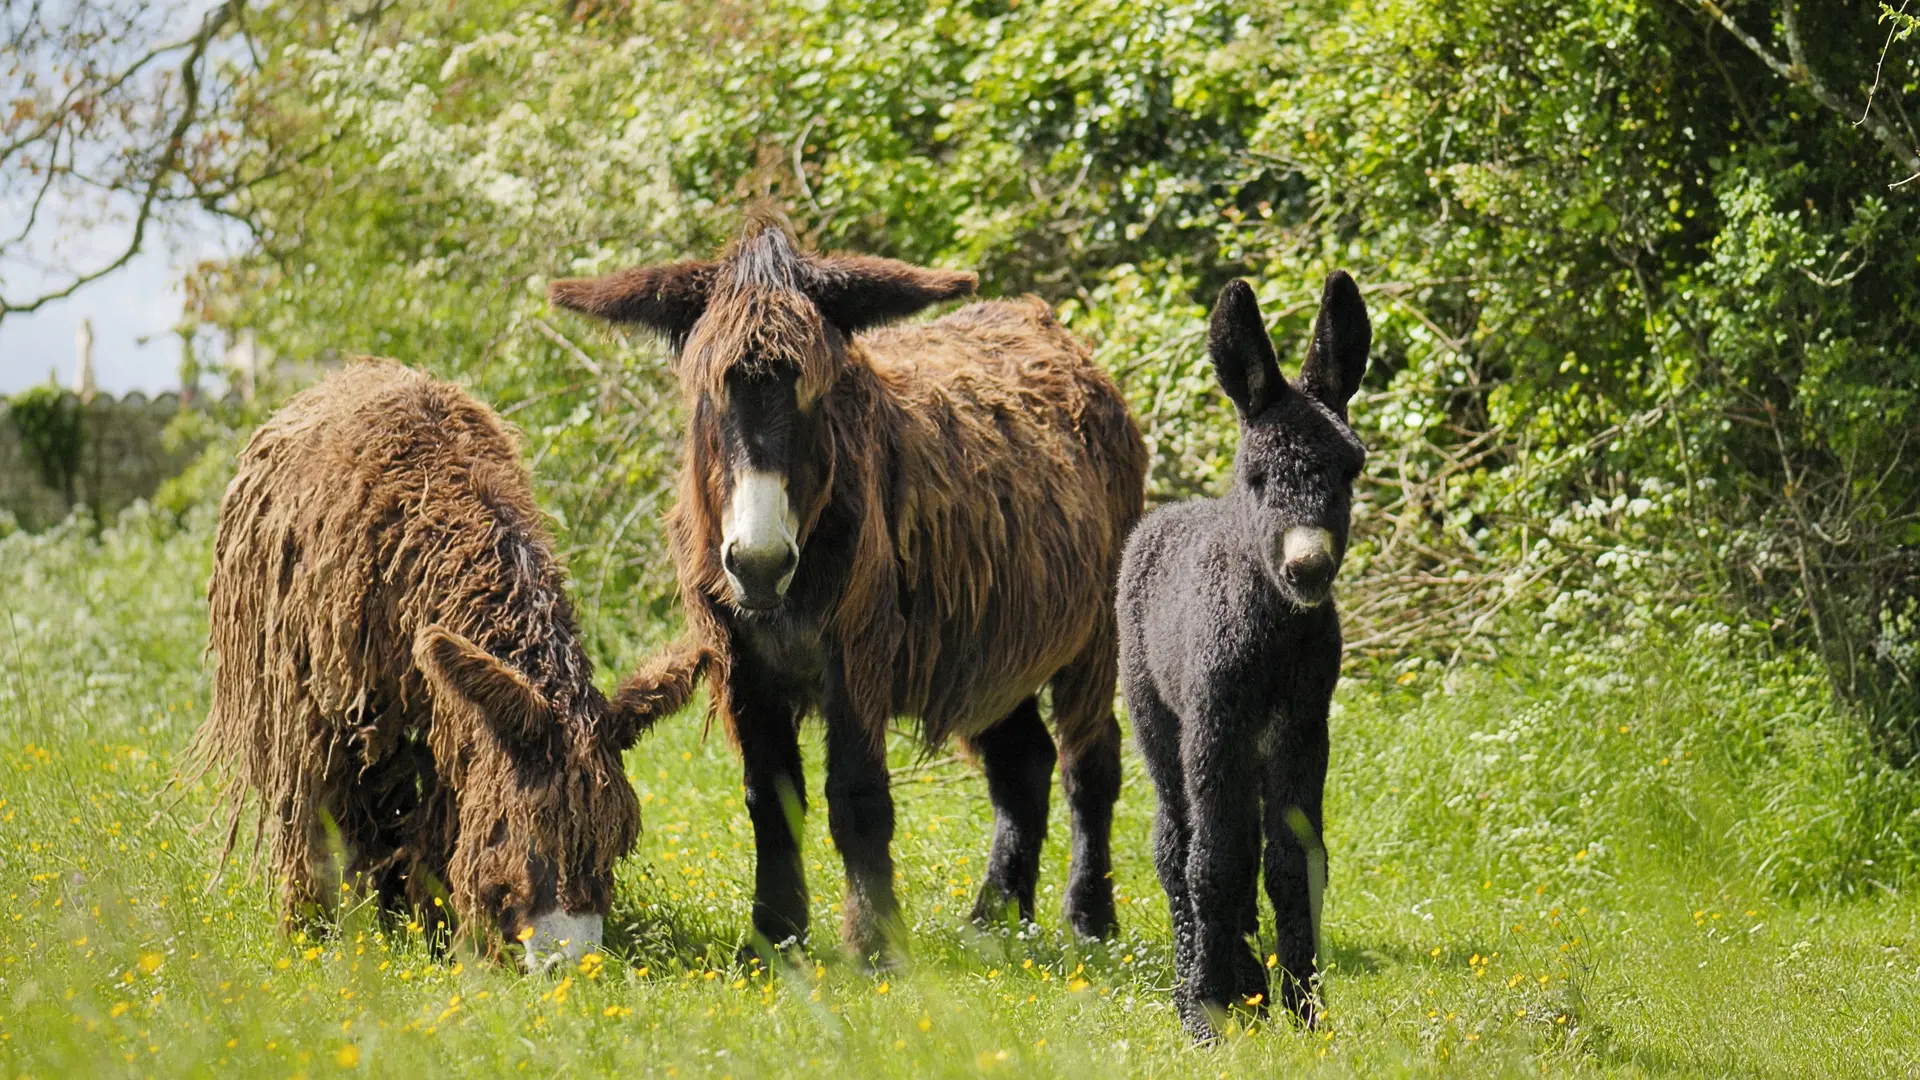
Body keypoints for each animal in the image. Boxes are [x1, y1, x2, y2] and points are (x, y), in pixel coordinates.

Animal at [1121, 269, 1374, 1037]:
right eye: (1258, 478)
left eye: (1348, 473)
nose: (1307, 569)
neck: (1274, 641)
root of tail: (1165, 514)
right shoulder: (1214, 723)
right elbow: (1213, 863)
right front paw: (1204, 1015)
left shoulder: (1303, 727)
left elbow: (1295, 861)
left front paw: (1306, 1011)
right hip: (1157, 722)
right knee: (1177, 845)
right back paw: (1208, 982)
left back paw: (1252, 984)